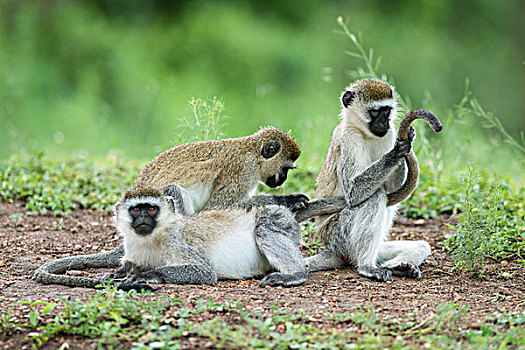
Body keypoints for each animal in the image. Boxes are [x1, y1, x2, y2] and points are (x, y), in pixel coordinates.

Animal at [310, 78, 440, 282]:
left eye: (386, 110)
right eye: (375, 112)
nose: (385, 122)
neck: (365, 133)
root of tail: (333, 248)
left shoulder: (389, 134)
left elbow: (391, 186)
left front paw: (407, 142)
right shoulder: (349, 139)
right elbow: (354, 193)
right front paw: (396, 152)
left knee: (422, 245)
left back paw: (399, 267)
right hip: (338, 235)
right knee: (375, 197)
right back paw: (366, 266)